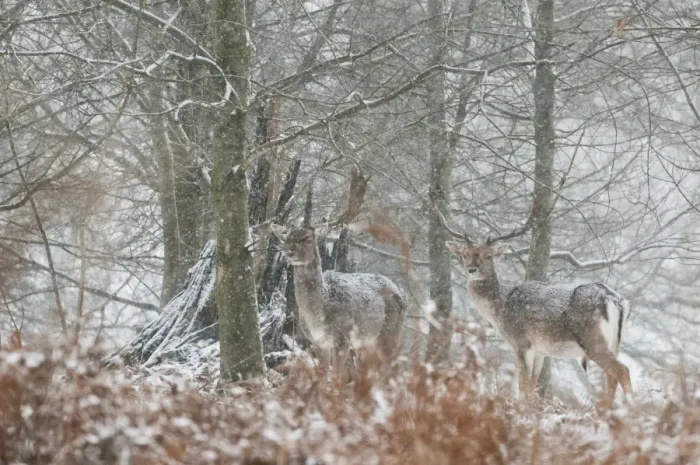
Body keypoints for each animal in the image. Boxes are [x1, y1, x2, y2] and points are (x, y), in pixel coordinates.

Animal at [270, 167, 407, 384]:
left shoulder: (343, 337)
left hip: (390, 332)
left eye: (307, 239)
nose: (289, 253)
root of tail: (401, 292)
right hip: (367, 343)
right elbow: (321, 377)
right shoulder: (316, 341)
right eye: (287, 239)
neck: (318, 314)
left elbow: (336, 378)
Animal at [438, 209, 632, 409]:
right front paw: (531, 410)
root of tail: (615, 300)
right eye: (464, 254)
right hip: (614, 342)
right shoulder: (540, 350)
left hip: (591, 339)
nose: (472, 269)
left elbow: (522, 383)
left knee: (622, 370)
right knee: (611, 376)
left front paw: (520, 410)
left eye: (488, 255)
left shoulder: (521, 342)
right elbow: (533, 384)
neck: (500, 308)